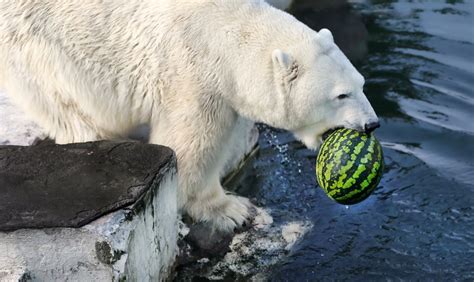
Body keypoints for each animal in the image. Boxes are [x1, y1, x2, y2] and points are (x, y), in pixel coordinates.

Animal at [0, 0, 378, 232]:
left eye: (361, 84)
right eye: (340, 95)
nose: (372, 123)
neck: (227, 31)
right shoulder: (192, 70)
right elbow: (193, 143)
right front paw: (231, 211)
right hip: (39, 49)